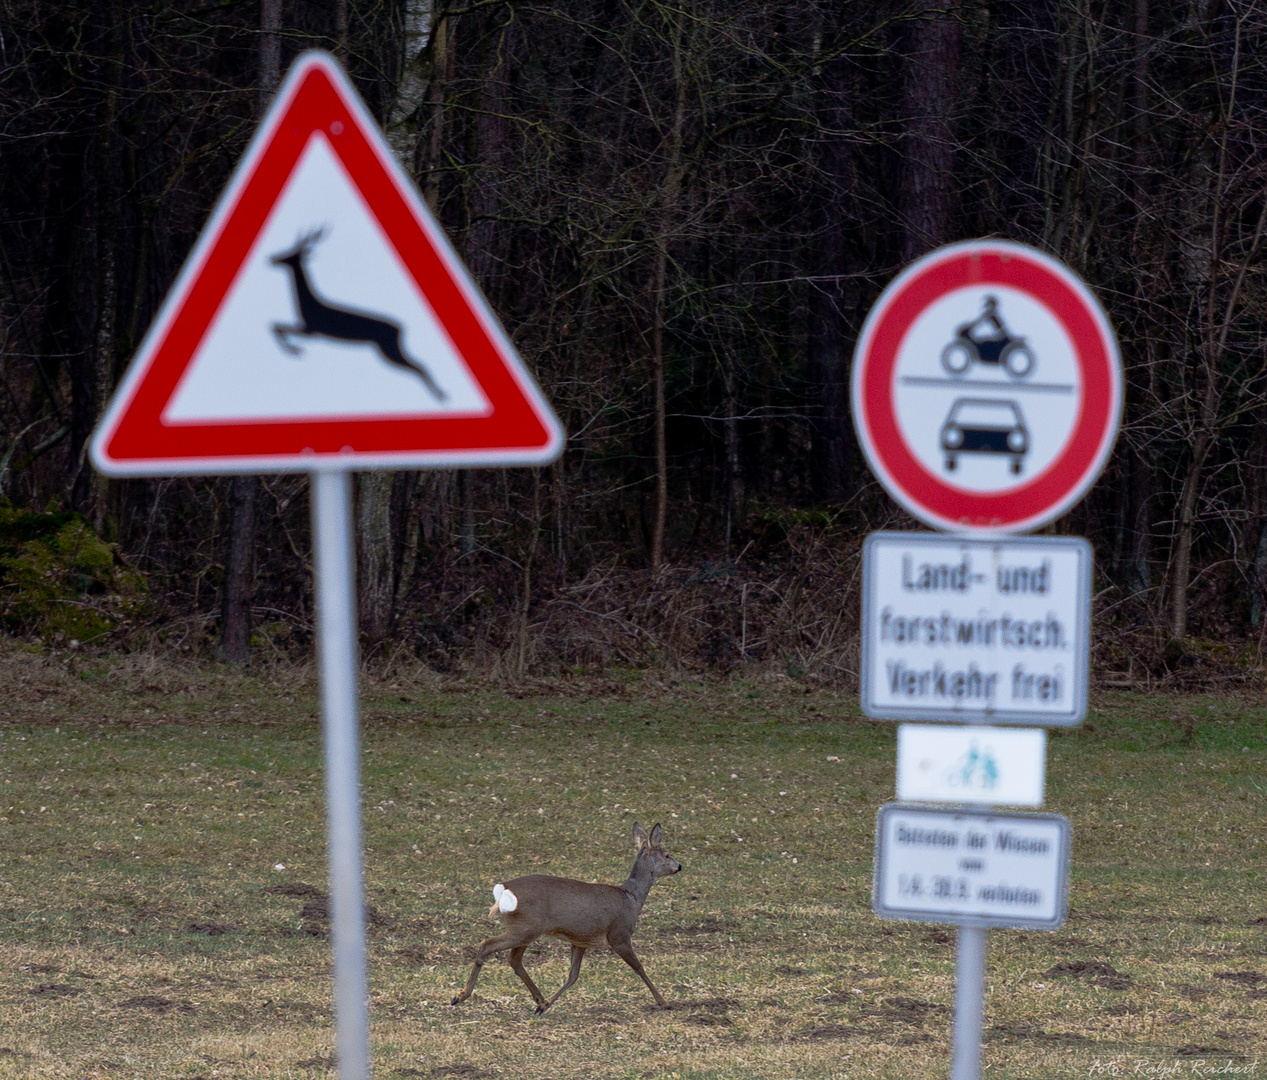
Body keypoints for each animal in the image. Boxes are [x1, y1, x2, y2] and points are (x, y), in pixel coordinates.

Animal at [267, 228, 445, 400]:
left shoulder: (312, 329)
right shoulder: (309, 329)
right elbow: (276, 326)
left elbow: (277, 327)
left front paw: (296, 350)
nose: (272, 258)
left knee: (419, 366)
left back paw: (440, 395)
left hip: (389, 348)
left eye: (289, 254)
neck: (307, 305)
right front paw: (296, 350)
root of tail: (401, 329)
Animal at [448, 826, 679, 1014]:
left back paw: (539, 1001)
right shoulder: (619, 934)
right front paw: (664, 1002)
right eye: (667, 854)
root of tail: (504, 889)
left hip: (524, 929)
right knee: (487, 945)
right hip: (525, 928)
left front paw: (547, 1005)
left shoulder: (580, 941)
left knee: (514, 960)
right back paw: (460, 996)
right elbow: (639, 967)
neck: (631, 898)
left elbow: (573, 975)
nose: (680, 866)